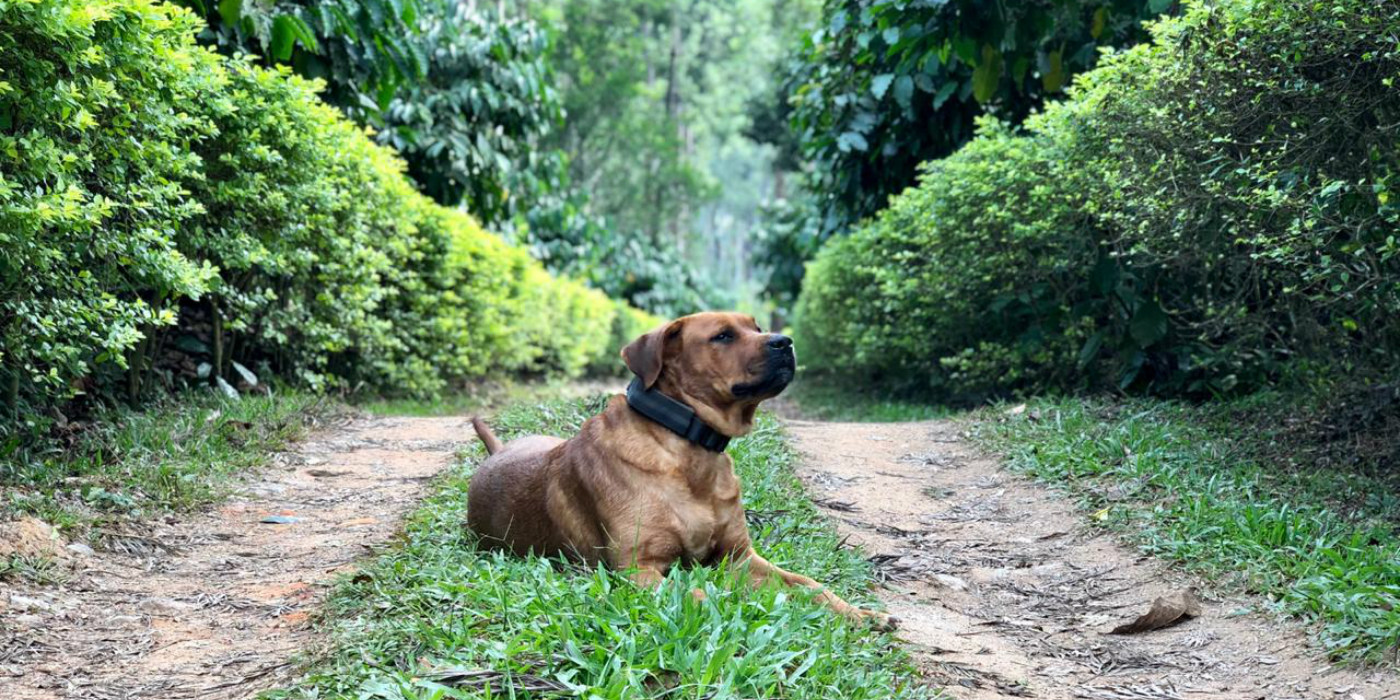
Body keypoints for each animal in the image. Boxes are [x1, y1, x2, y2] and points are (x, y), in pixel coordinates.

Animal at [464, 312, 890, 630]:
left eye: (756, 327)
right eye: (722, 336)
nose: (785, 342)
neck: (688, 447)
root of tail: (498, 451)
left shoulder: (738, 557)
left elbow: (809, 584)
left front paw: (858, 612)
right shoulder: (638, 569)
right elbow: (693, 594)